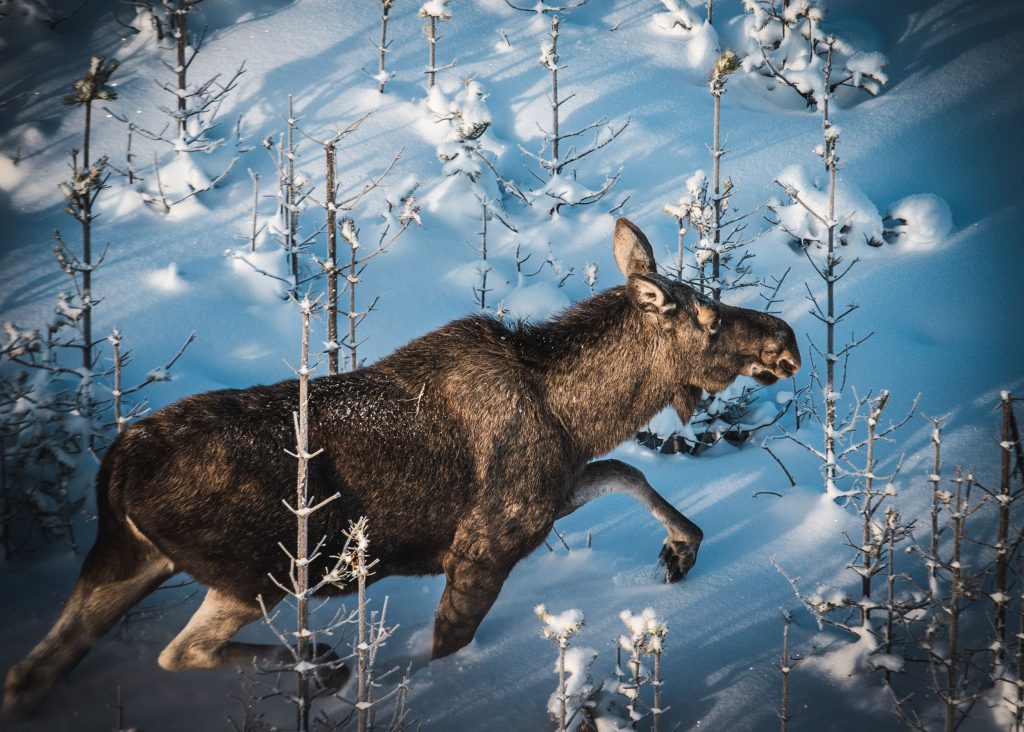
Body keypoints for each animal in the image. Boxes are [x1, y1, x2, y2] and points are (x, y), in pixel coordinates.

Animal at [3, 218, 800, 717]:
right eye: (711, 322)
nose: (787, 339)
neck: (575, 414)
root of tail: (117, 465)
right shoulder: (486, 543)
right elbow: (446, 645)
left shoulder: (553, 493)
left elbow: (626, 475)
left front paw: (680, 551)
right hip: (259, 568)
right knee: (179, 652)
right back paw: (322, 662)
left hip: (125, 560)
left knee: (28, 672)